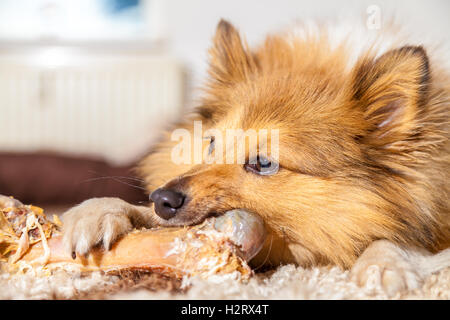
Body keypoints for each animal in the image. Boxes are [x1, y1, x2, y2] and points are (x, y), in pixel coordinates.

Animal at [60, 19, 450, 296]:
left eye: (263, 163)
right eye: (212, 144)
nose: (163, 199)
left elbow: (395, 241)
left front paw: (382, 266)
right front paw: (98, 213)